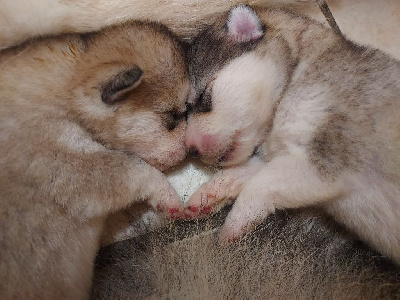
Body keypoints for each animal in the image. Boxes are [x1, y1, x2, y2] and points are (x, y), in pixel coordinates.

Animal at [184, 5, 400, 264]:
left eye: (203, 98)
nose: (190, 150)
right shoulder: (286, 159)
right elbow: (247, 172)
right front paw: (209, 193)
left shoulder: (325, 162)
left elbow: (258, 185)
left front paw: (233, 225)